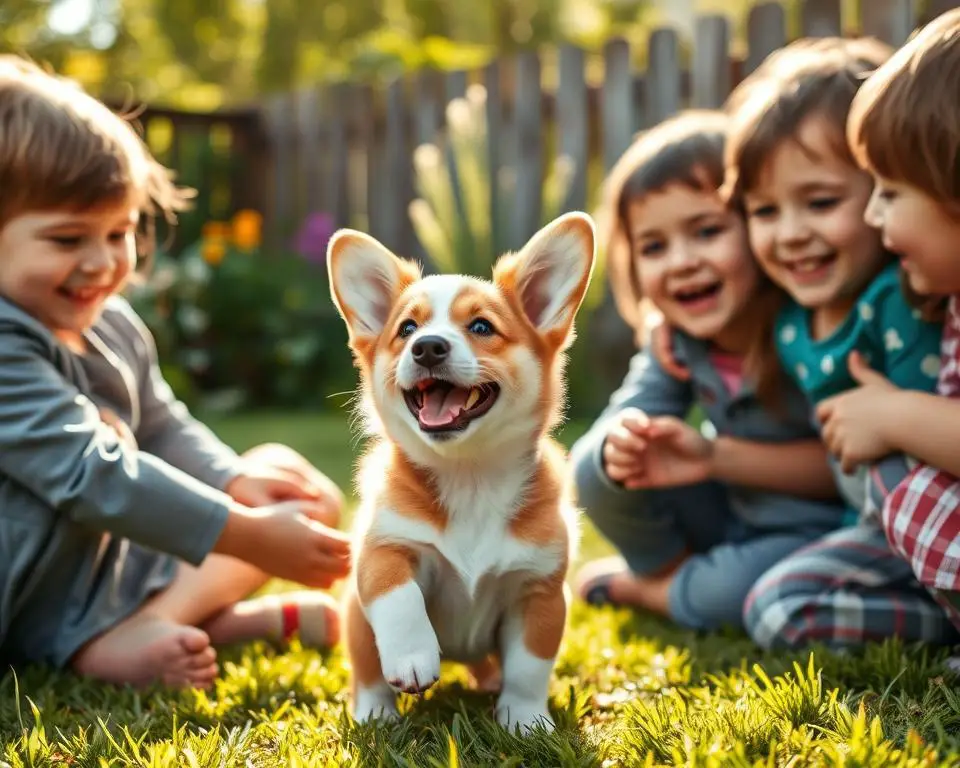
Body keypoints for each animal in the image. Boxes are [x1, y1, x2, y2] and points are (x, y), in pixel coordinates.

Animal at [330, 213, 596, 736]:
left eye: (481, 326)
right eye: (406, 328)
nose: (427, 347)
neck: (468, 475)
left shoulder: (540, 592)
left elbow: (530, 667)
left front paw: (526, 720)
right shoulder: (384, 549)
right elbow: (398, 599)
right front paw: (412, 657)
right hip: (354, 618)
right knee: (367, 674)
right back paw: (376, 714)